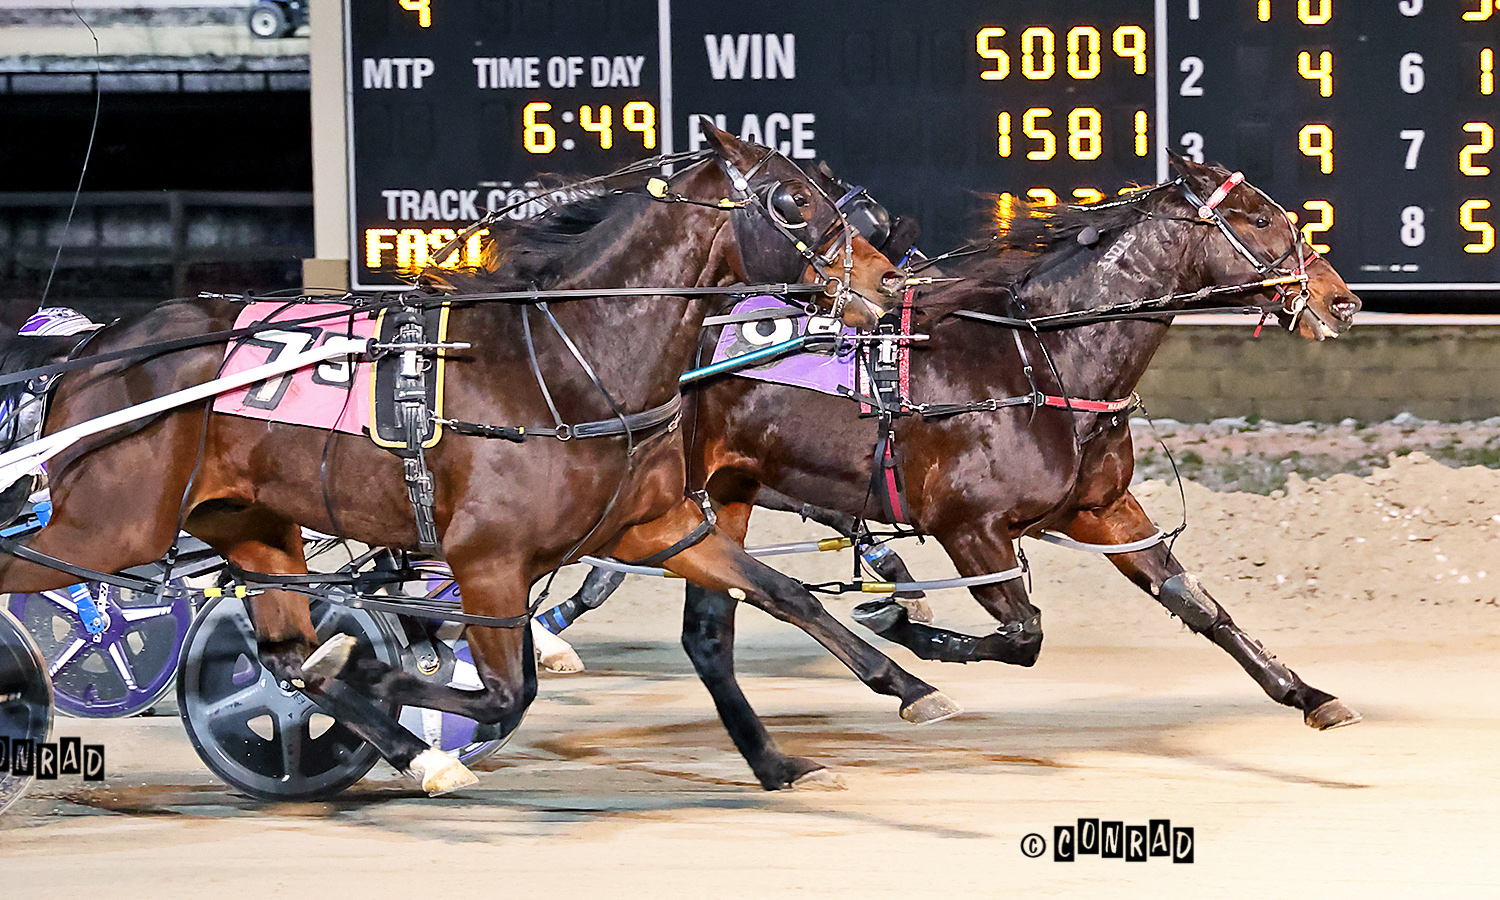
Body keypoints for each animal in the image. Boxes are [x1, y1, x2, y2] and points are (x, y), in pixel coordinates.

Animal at [0, 125, 955, 795]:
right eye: (792, 200)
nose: (886, 283)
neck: (564, 363)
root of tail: (91, 350)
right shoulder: (487, 558)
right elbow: (502, 692)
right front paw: (380, 671)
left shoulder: (657, 528)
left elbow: (788, 594)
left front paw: (896, 693)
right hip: (102, 528)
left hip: (251, 523)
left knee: (282, 657)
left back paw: (400, 745)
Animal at [638, 154, 1364, 789]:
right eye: (1261, 220)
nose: (1342, 301)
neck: (1046, 359)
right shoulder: (969, 528)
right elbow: (1024, 635)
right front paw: (899, 623)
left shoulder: (1102, 509)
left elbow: (1198, 604)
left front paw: (1307, 694)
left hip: (723, 492)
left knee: (710, 634)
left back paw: (777, 763)